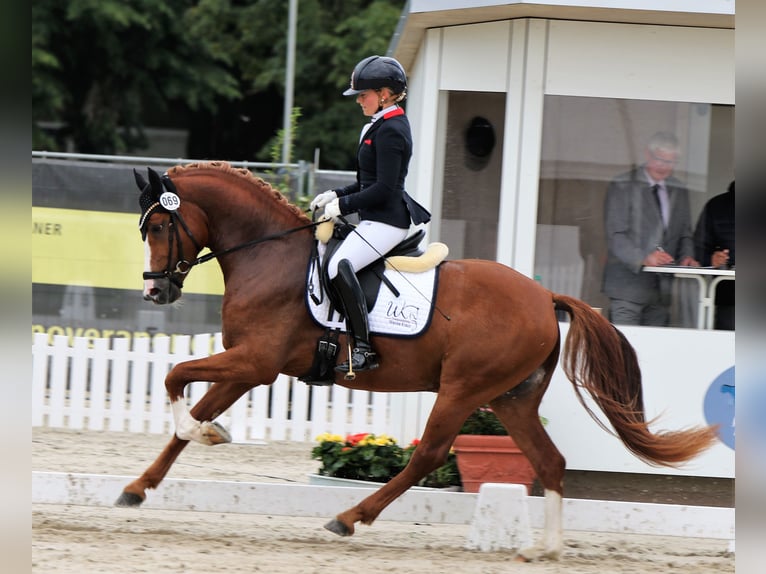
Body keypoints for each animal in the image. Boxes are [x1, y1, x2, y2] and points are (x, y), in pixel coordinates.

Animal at [120, 162, 720, 564]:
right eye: (142, 230)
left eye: (159, 227)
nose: (154, 292)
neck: (268, 254)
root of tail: (545, 297)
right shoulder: (244, 365)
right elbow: (186, 412)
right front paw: (143, 484)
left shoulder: (255, 363)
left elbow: (175, 377)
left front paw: (205, 432)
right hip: (512, 399)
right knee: (549, 462)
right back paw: (545, 549)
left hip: (462, 390)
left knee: (429, 455)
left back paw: (349, 518)